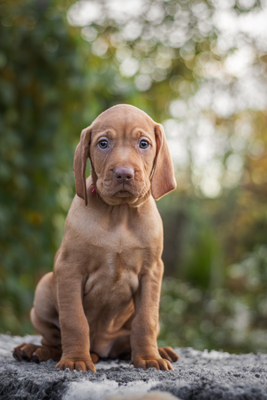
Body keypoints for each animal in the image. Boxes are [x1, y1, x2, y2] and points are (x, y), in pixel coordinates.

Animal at [13, 104, 180, 372]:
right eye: (103, 144)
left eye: (143, 144)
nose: (124, 174)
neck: (119, 214)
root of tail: (102, 349)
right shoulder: (69, 269)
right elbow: (74, 320)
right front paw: (74, 360)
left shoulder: (152, 271)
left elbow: (146, 320)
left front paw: (149, 358)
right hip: (44, 287)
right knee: (53, 339)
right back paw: (37, 350)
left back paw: (155, 350)